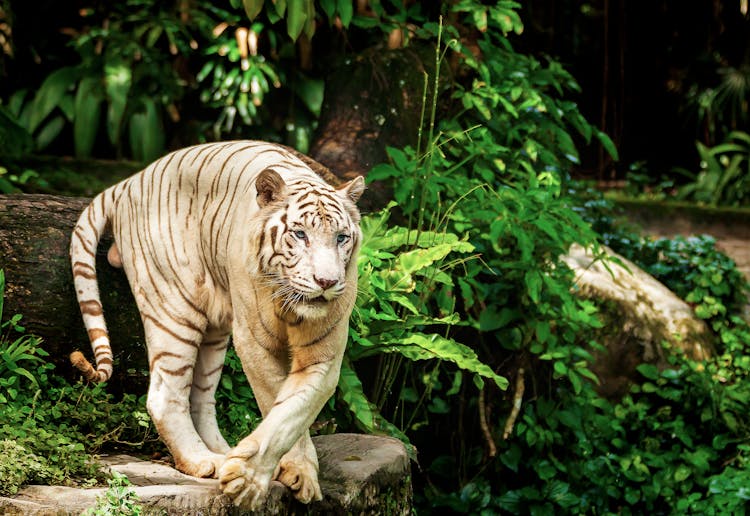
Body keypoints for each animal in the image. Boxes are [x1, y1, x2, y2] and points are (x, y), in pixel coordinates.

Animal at [69, 141, 366, 508]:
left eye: (341, 238)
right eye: (300, 234)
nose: (327, 282)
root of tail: (128, 182)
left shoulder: (323, 353)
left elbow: (295, 410)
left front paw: (292, 473)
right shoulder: (254, 341)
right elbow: (276, 403)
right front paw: (250, 480)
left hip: (214, 333)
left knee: (200, 398)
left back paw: (222, 453)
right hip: (175, 310)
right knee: (165, 396)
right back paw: (202, 461)